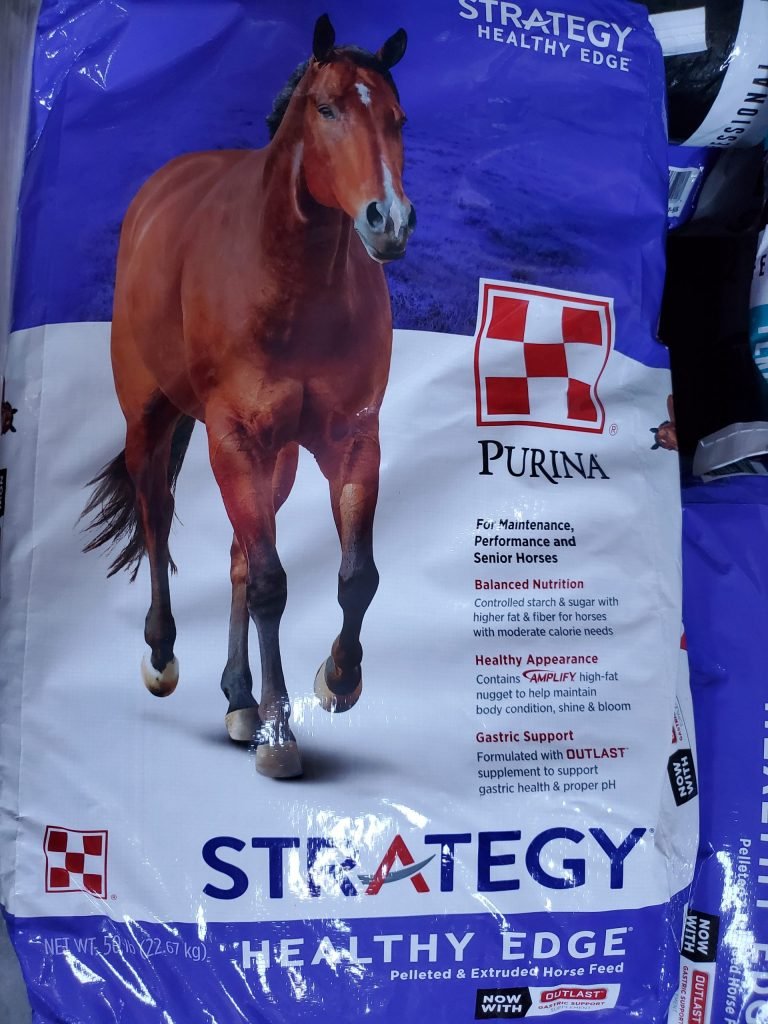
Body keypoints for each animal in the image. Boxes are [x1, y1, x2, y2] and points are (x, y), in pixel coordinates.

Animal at [82, 14, 415, 779]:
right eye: (327, 109)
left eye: (397, 118)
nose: (388, 220)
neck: (291, 285)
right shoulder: (233, 435)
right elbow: (270, 584)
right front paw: (281, 735)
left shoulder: (352, 439)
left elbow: (356, 577)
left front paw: (338, 679)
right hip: (152, 420)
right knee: (157, 513)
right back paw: (164, 655)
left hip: (279, 458)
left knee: (237, 553)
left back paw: (238, 699)